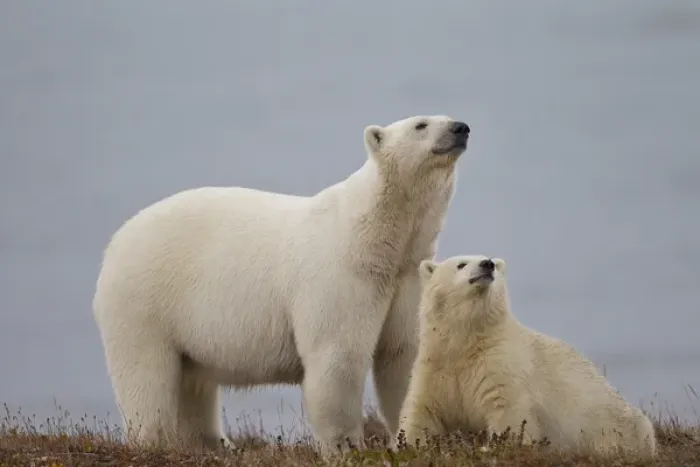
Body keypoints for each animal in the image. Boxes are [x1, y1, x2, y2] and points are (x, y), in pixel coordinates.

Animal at [92, 115, 471, 455]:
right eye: (421, 124)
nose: (460, 128)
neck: (375, 240)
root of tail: (115, 242)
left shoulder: (404, 279)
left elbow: (403, 355)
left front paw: (416, 439)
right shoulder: (343, 276)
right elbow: (338, 357)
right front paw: (346, 447)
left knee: (192, 381)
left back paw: (214, 445)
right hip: (144, 301)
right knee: (146, 377)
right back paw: (156, 443)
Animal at [396, 254, 657, 458]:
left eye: (491, 261)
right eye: (461, 264)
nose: (487, 264)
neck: (467, 342)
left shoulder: (500, 364)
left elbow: (508, 411)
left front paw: (499, 447)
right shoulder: (436, 367)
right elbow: (421, 412)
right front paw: (409, 446)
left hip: (612, 426)